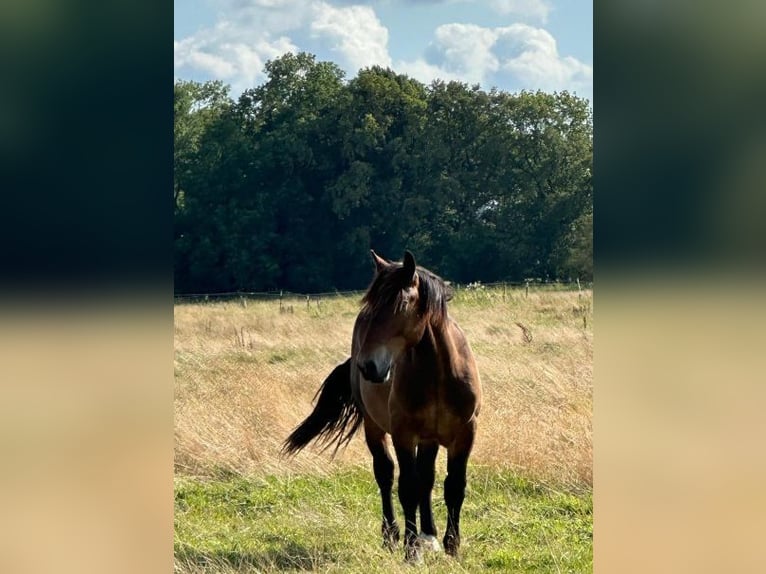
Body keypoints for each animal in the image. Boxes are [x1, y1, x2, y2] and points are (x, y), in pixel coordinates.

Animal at [282, 250, 482, 563]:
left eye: (401, 304)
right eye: (370, 305)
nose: (369, 366)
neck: (438, 374)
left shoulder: (464, 434)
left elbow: (453, 487)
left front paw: (451, 546)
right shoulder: (403, 434)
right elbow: (407, 487)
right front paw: (411, 551)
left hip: (429, 438)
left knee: (427, 479)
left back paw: (429, 535)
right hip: (374, 427)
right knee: (385, 475)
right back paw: (391, 535)